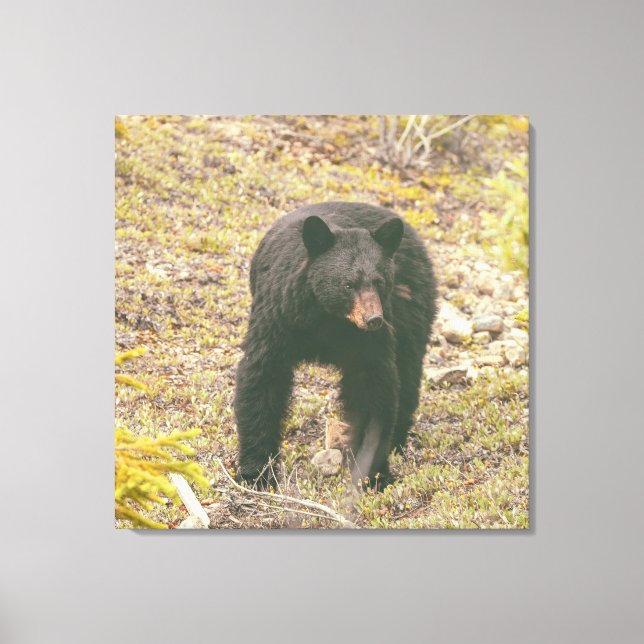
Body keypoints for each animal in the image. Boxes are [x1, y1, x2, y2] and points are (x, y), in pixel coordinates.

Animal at [234, 201, 436, 489]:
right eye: (348, 284)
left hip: (412, 307)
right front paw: (257, 471)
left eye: (379, 282)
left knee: (407, 369)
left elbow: (372, 386)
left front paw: (372, 473)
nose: (374, 319)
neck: (328, 318)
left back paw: (397, 440)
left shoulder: (368, 341)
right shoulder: (279, 316)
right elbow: (263, 375)